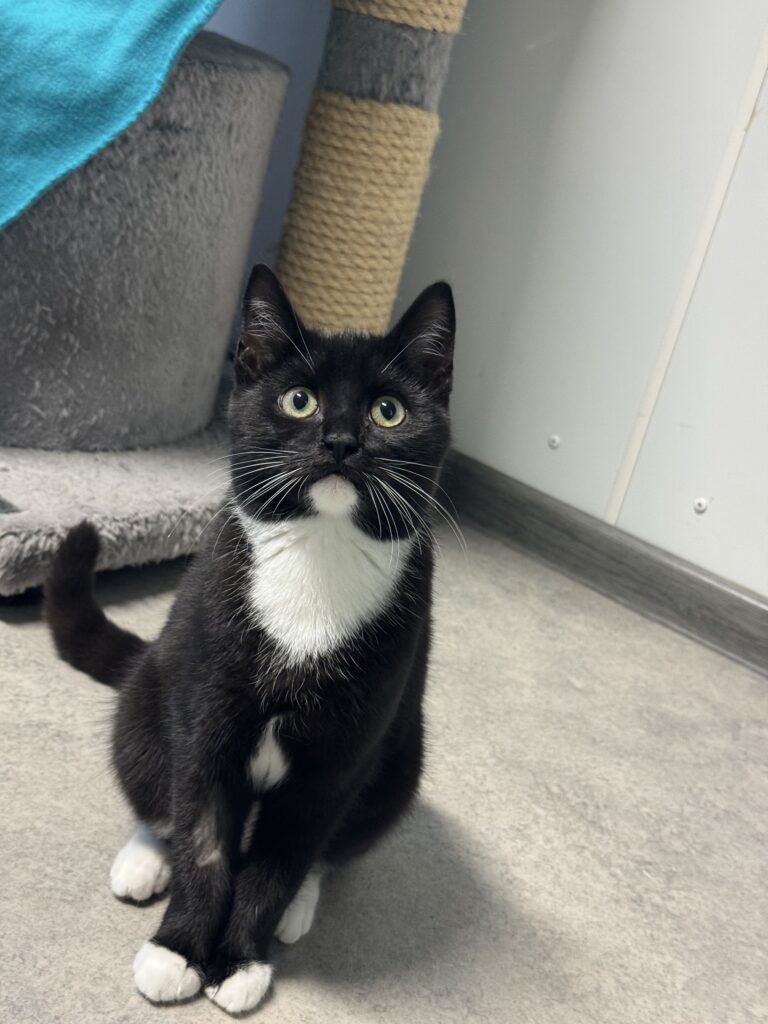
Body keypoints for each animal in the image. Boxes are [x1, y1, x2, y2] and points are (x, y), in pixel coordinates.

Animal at [45, 264, 456, 1015]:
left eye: (388, 412)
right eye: (298, 400)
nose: (340, 441)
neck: (319, 554)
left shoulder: (336, 758)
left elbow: (281, 858)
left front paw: (241, 959)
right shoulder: (207, 714)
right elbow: (204, 837)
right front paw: (178, 950)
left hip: (401, 755)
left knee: (330, 844)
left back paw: (300, 905)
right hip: (151, 690)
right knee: (155, 787)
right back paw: (145, 859)